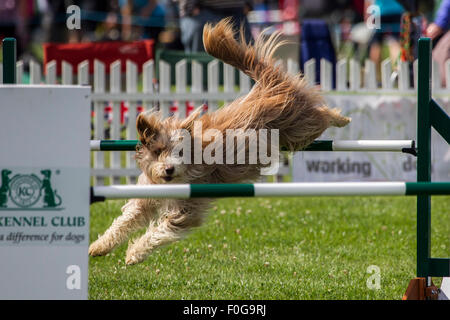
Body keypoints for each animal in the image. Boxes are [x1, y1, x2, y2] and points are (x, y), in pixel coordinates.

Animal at [87, 18, 348, 264]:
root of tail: (268, 86)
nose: (168, 169)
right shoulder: (146, 196)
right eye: (159, 151)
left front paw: (134, 253)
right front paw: (99, 246)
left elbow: (159, 231)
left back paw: (342, 117)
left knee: (322, 115)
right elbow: (124, 220)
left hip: (300, 129)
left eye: (180, 153)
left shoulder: (188, 208)